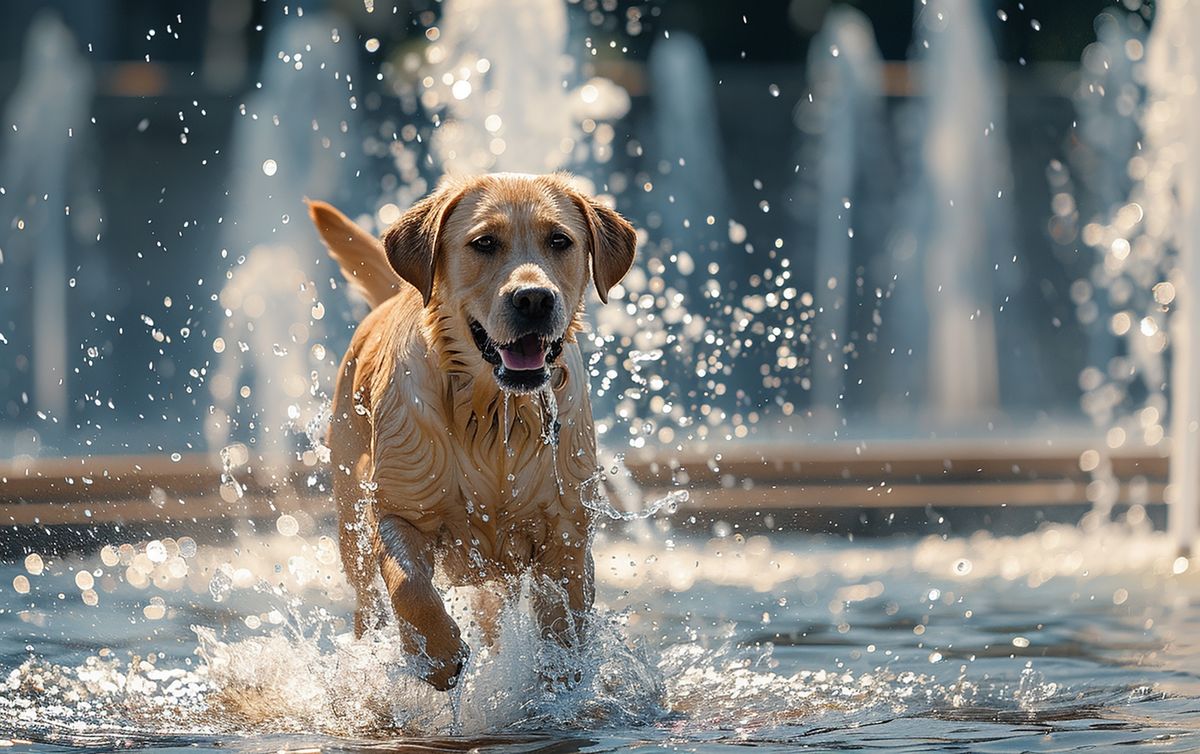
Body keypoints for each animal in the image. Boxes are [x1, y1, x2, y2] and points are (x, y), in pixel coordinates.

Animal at [304, 172, 638, 691]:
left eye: (559, 241)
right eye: (484, 243)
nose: (534, 298)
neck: (494, 413)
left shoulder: (567, 533)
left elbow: (564, 624)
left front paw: (558, 684)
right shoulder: (401, 510)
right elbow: (410, 587)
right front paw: (438, 656)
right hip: (350, 522)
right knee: (368, 603)